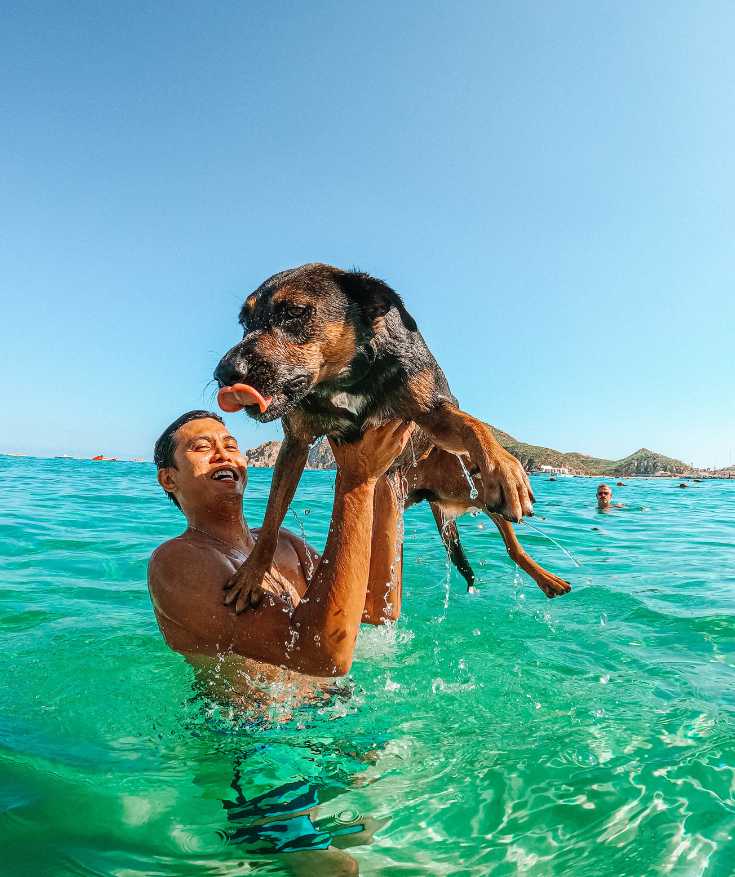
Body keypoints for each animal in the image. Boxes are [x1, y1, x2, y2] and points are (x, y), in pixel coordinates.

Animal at [216, 264, 572, 612]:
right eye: (244, 323)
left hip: (476, 488)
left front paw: (504, 466)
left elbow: (473, 425)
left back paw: (546, 577)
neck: (350, 375)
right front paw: (252, 575)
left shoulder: (433, 412)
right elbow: (271, 520)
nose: (223, 373)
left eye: (294, 312)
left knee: (513, 546)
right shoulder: (296, 443)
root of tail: (435, 496)